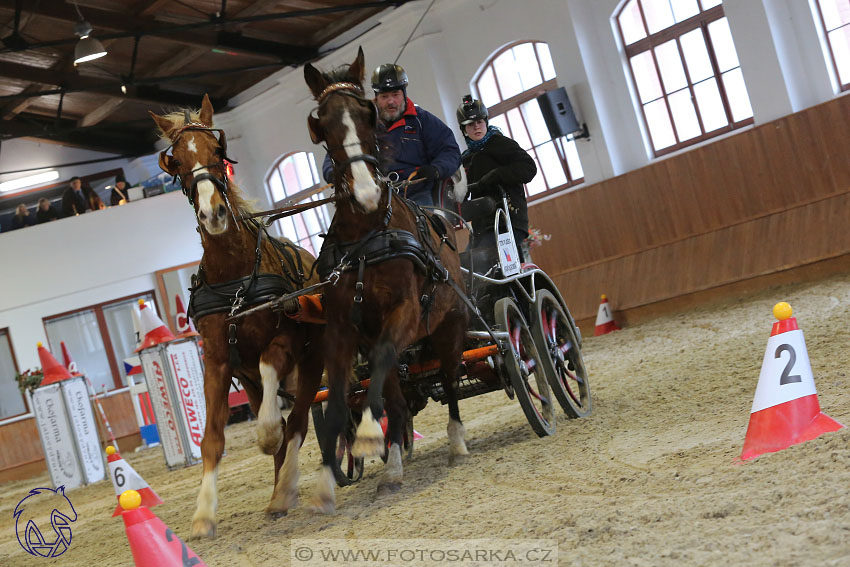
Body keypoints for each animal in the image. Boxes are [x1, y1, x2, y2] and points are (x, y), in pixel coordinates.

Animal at [147, 95, 322, 540]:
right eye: (176, 161)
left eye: (218, 151)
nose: (213, 214)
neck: (236, 279)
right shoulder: (217, 361)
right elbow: (211, 438)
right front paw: (203, 515)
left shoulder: (285, 341)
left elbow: (273, 401)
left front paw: (266, 435)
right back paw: (278, 495)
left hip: (314, 360)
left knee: (300, 419)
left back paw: (287, 484)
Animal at [302, 46, 468, 512]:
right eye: (322, 121)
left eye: (367, 113)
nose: (366, 192)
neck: (367, 239)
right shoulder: (344, 329)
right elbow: (344, 402)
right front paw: (331, 477)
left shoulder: (406, 313)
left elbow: (378, 391)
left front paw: (368, 438)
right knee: (395, 390)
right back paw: (394, 458)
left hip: (450, 324)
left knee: (451, 378)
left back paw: (456, 442)